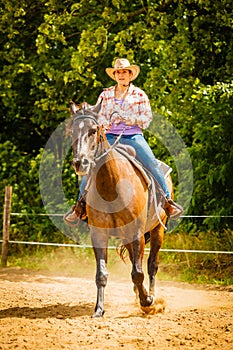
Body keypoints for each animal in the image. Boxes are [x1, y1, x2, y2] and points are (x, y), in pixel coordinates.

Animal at [67, 101, 173, 318]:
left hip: (157, 230)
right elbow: (102, 273)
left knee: (151, 265)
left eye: (93, 130)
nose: (80, 163)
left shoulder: (137, 231)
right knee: (135, 262)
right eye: (71, 131)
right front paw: (99, 309)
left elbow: (139, 272)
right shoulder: (99, 233)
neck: (112, 186)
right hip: (127, 235)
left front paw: (148, 301)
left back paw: (150, 296)